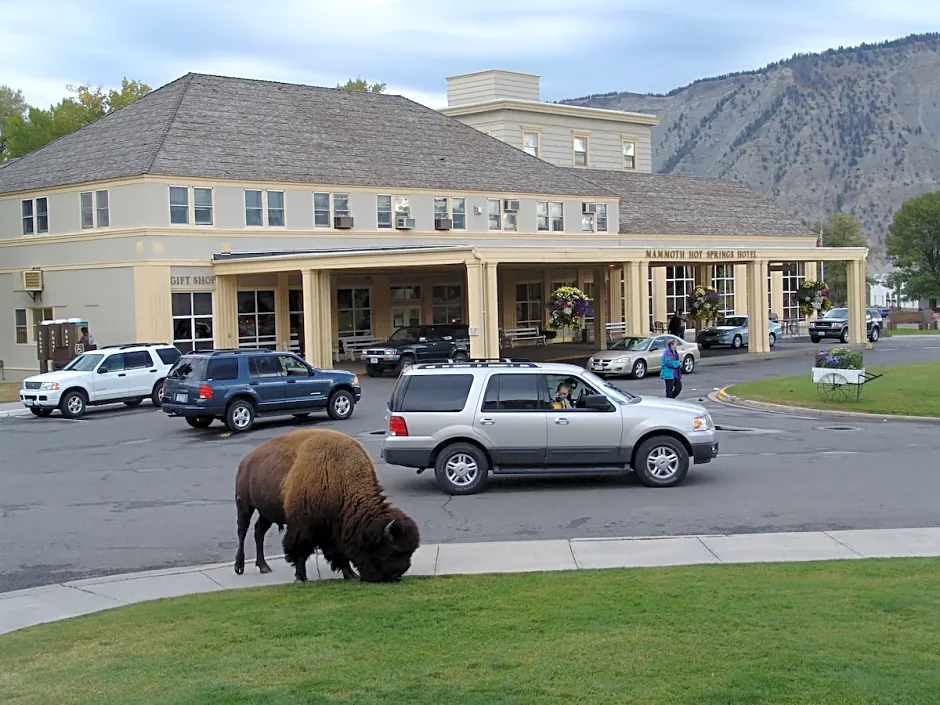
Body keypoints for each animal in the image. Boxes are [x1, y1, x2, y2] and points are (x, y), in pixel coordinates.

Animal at [235, 428, 422, 584]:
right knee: (242, 532)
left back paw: (264, 566)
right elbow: (299, 551)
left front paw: (351, 575)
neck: (339, 476)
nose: (396, 575)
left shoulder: (332, 528)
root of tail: (246, 461)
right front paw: (301, 578)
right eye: (392, 552)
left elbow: (338, 553)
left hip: (266, 513)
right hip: (244, 505)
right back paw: (239, 567)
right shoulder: (302, 527)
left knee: (259, 531)